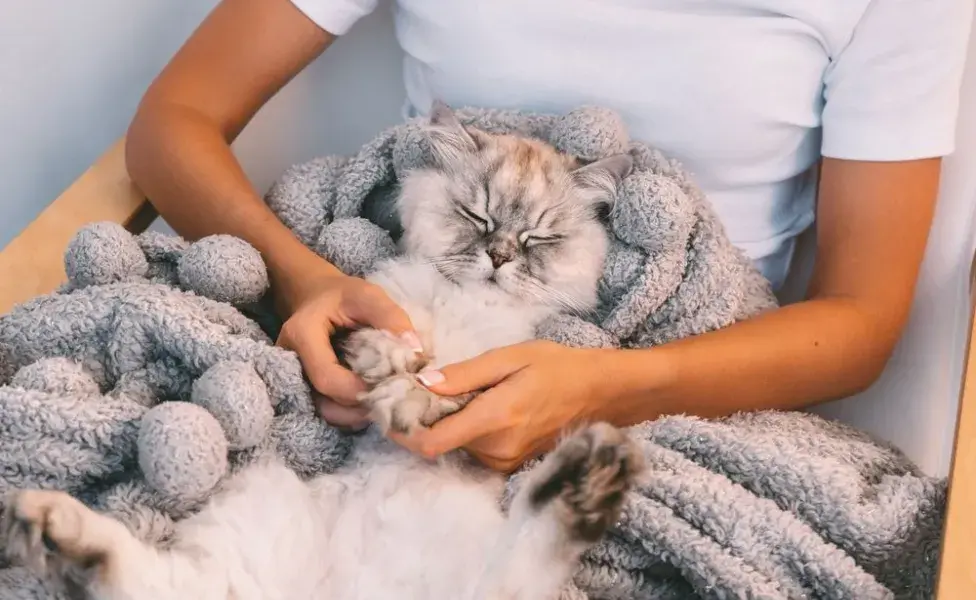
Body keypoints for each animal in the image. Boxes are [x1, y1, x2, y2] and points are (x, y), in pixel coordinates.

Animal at [1, 103, 640, 600]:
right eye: (476, 217)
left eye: (539, 238)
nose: (501, 257)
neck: (465, 303)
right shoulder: (377, 309)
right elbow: (381, 347)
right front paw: (391, 365)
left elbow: (447, 391)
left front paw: (408, 401)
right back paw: (48, 528)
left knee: (519, 563)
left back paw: (589, 479)